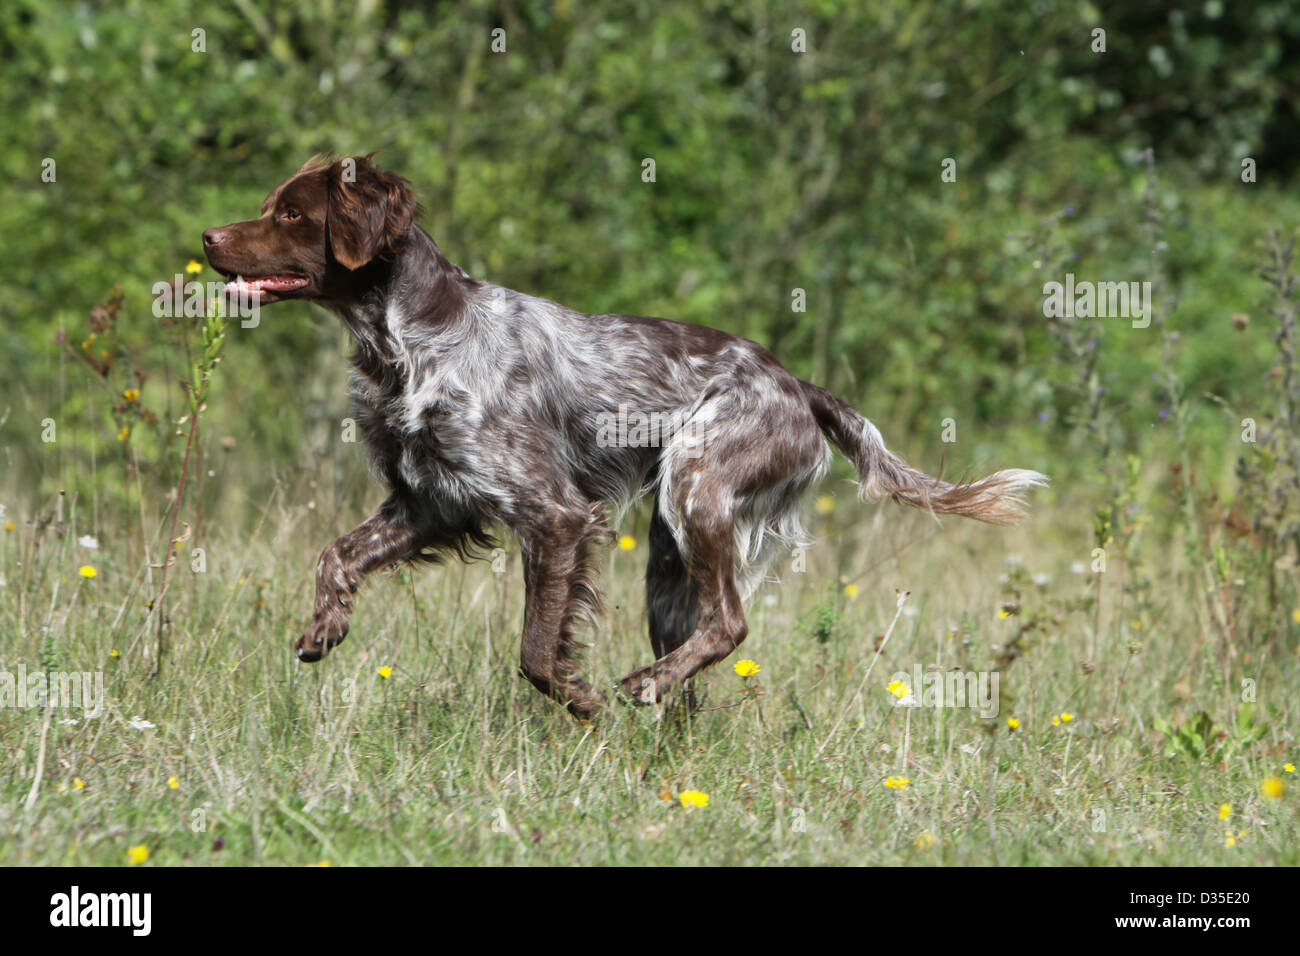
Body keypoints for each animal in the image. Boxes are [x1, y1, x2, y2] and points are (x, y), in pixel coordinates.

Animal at [200, 155, 1045, 717]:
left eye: (290, 215)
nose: (207, 236)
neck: (411, 341)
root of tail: (798, 387)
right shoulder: (430, 502)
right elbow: (336, 553)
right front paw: (323, 627)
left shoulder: (555, 513)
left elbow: (537, 649)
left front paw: (582, 701)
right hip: (670, 554)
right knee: (699, 646)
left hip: (696, 487)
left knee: (729, 622)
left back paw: (642, 688)